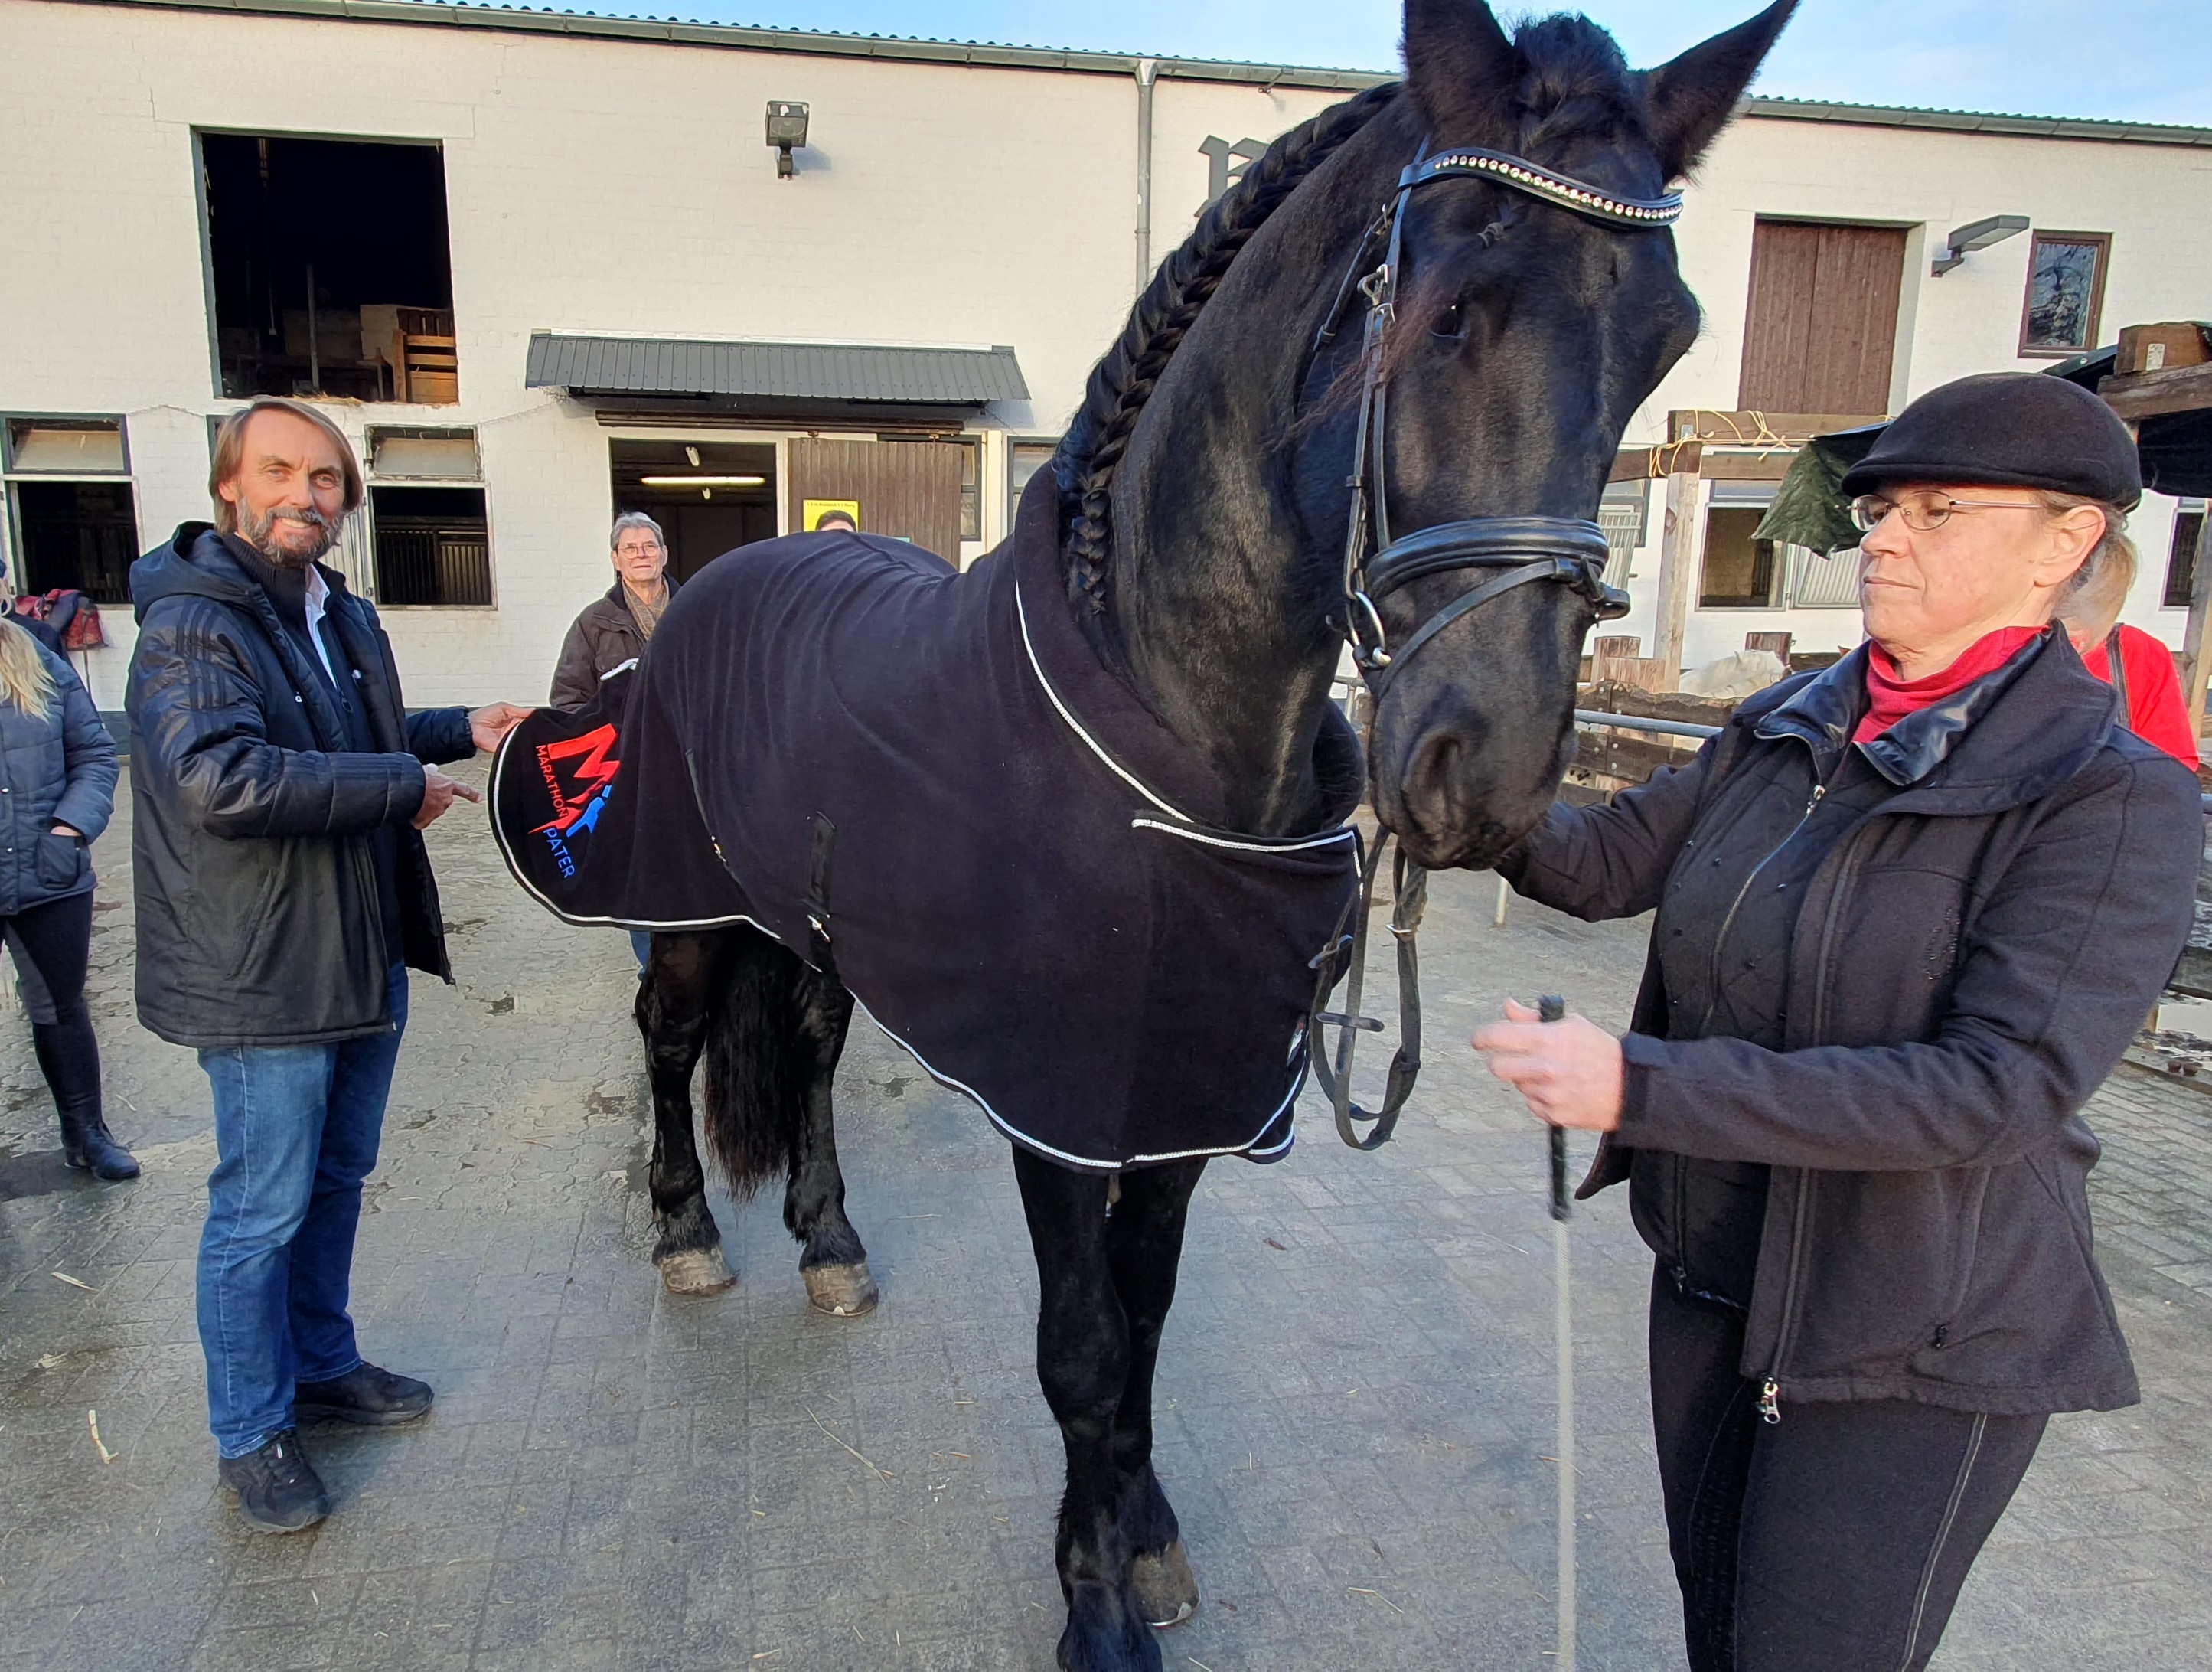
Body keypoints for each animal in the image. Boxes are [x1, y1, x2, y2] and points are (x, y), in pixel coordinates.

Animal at [511, 2, 1798, 1665]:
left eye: (1665, 339)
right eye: (1449, 308)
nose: (1490, 764)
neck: (1179, 734)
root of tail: (710, 582)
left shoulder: (1185, 1089)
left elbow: (1144, 1326)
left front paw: (1144, 1532)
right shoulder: (1062, 1104)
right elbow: (1079, 1344)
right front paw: (1096, 1606)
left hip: (823, 934)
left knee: (804, 1050)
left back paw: (828, 1241)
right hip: (683, 911)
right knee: (670, 1042)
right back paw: (685, 1233)